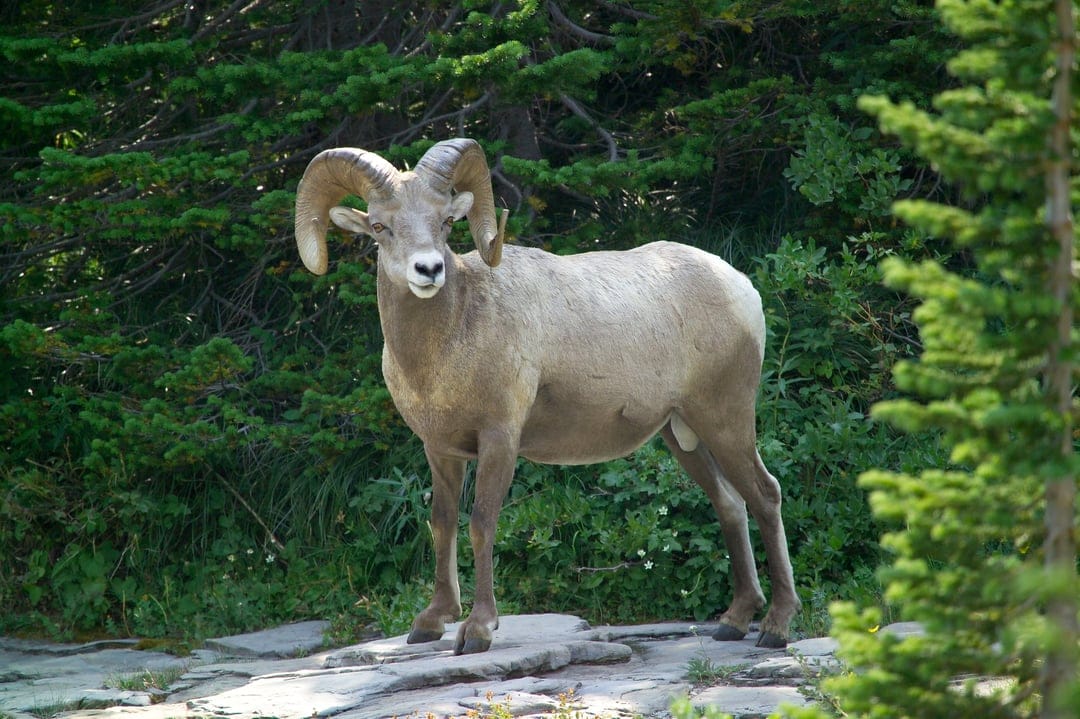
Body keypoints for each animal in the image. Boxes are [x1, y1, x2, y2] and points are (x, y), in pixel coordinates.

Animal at [293, 137, 801, 655]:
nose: (428, 270)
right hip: (684, 436)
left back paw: (775, 627)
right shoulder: (440, 450)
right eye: (380, 226)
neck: (447, 345)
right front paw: (431, 623)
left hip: (725, 419)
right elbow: (442, 523)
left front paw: (477, 630)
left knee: (765, 495)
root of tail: (742, 288)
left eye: (446, 221)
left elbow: (481, 523)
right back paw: (733, 621)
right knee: (730, 503)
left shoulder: (499, 440)